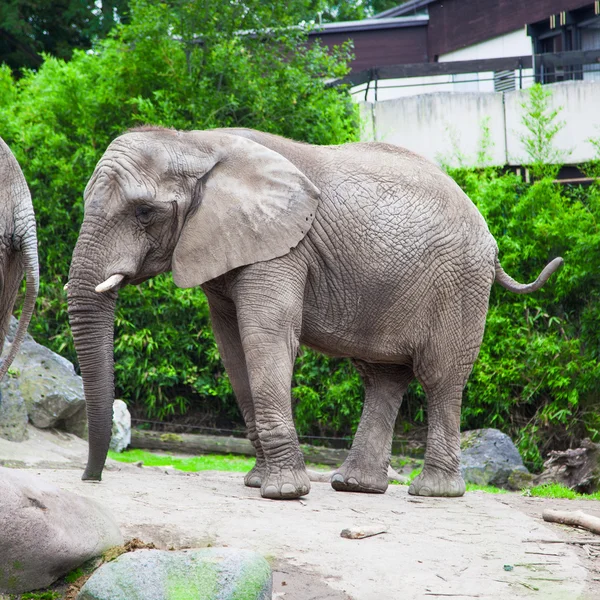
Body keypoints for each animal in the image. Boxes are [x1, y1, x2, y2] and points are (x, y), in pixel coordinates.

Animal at [67, 127, 564, 502]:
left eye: (144, 212)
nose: (91, 479)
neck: (194, 143)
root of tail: (489, 238)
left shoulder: (283, 247)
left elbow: (266, 337)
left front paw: (282, 493)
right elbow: (233, 348)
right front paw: (258, 482)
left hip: (460, 283)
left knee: (440, 378)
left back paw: (432, 492)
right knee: (383, 378)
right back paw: (355, 486)